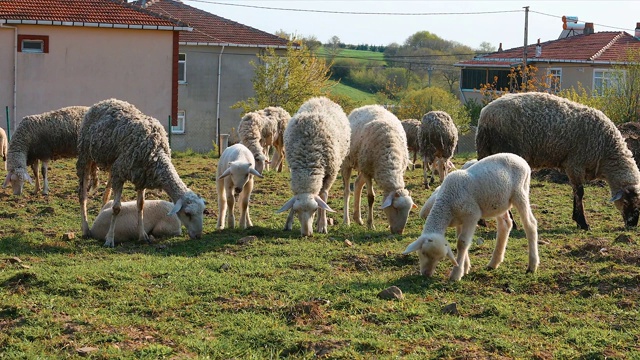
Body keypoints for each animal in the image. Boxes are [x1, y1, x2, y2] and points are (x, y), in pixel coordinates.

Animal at [77, 98, 205, 248]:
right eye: (187, 213)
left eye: (203, 211)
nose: (198, 236)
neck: (156, 153)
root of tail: (103, 102)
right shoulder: (120, 173)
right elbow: (116, 208)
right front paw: (109, 240)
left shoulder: (141, 177)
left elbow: (141, 205)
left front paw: (142, 236)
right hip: (85, 156)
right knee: (83, 195)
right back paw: (85, 229)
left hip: (111, 164)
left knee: (105, 194)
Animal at [278, 96, 352, 236]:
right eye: (296, 211)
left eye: (314, 210)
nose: (306, 234)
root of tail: (322, 98)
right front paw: (288, 222)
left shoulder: (330, 173)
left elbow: (323, 195)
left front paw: (322, 224)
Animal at [342, 102, 418, 235]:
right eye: (395, 208)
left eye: (409, 210)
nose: (399, 232)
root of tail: (367, 106)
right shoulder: (367, 172)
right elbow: (371, 197)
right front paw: (370, 224)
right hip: (349, 162)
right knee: (347, 191)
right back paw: (347, 221)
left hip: (363, 165)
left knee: (357, 183)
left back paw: (358, 218)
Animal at [404, 152, 540, 282]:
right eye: (422, 252)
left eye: (441, 258)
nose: (426, 274)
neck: (447, 202)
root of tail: (520, 158)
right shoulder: (460, 220)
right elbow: (460, 239)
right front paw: (465, 268)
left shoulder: (472, 215)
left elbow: (462, 243)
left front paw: (456, 274)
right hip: (500, 202)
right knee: (505, 225)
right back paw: (494, 263)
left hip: (520, 192)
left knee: (530, 224)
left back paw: (532, 266)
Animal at [476, 91, 640, 229]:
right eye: (626, 201)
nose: (632, 224)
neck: (607, 152)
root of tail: (485, 116)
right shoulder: (575, 164)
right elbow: (580, 192)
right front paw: (583, 223)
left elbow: (575, 190)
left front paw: (577, 219)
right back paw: (512, 223)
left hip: (486, 152)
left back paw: (482, 221)